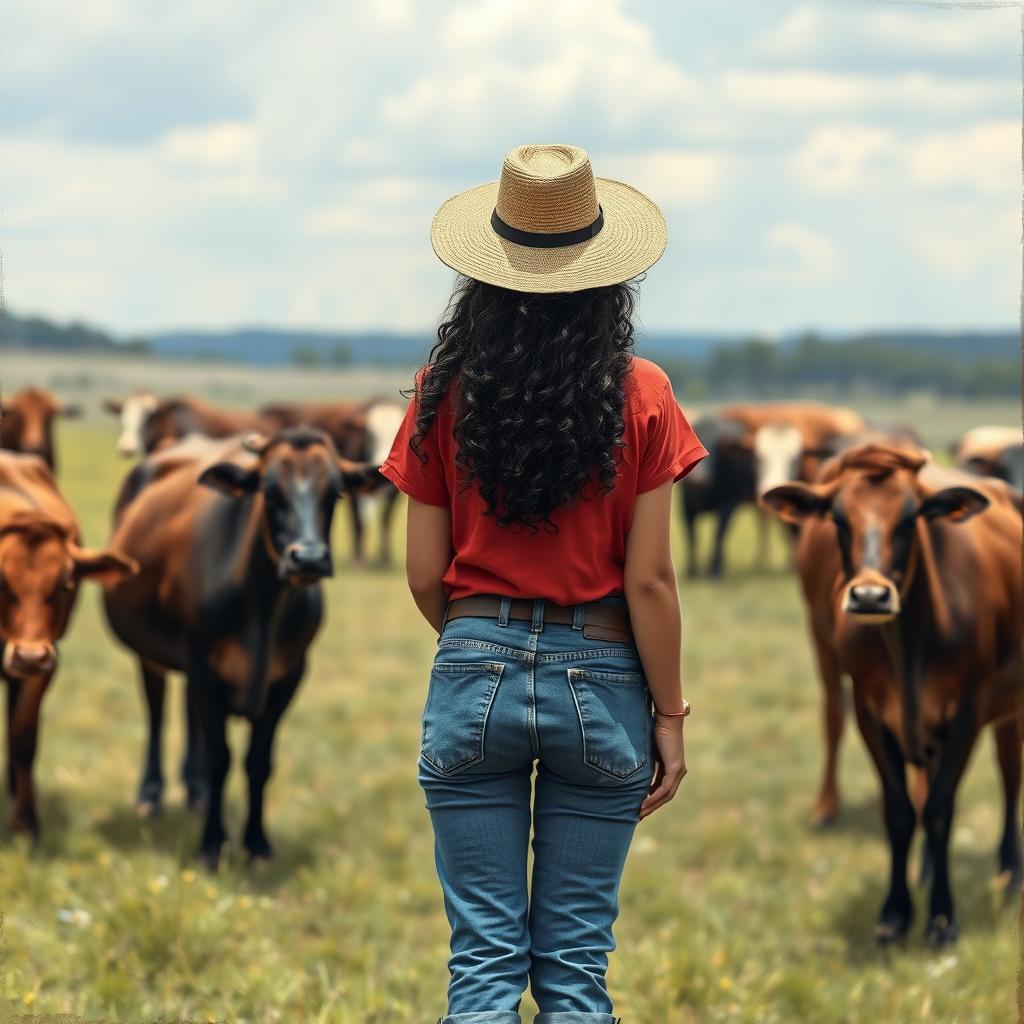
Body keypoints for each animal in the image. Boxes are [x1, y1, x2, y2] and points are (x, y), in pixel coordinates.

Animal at [0, 452, 138, 835]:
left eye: (65, 584)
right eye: (0, 581)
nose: (29, 656)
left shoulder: (46, 666)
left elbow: (23, 738)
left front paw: (25, 824)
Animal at [101, 428, 380, 868]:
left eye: (335, 492)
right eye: (268, 491)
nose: (308, 559)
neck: (263, 609)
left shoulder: (291, 673)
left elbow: (258, 761)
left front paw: (257, 842)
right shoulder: (202, 659)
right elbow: (220, 756)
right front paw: (212, 844)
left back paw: (195, 790)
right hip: (151, 653)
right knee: (157, 711)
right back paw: (151, 794)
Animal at [765, 444, 1019, 946]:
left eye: (910, 518)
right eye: (838, 519)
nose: (869, 597)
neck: (910, 643)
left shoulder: (969, 709)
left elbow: (940, 809)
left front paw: (941, 918)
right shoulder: (871, 710)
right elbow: (902, 811)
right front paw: (896, 912)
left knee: (1009, 773)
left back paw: (1009, 871)